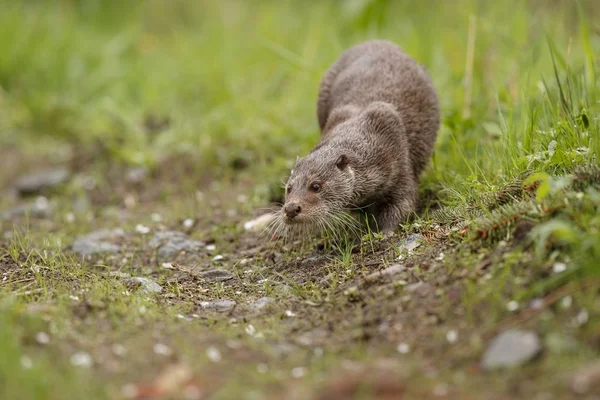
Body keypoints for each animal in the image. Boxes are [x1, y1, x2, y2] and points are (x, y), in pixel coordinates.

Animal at [278, 39, 438, 236]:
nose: (291, 209)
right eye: (288, 188)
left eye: (316, 186)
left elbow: (403, 204)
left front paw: (384, 232)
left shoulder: (399, 162)